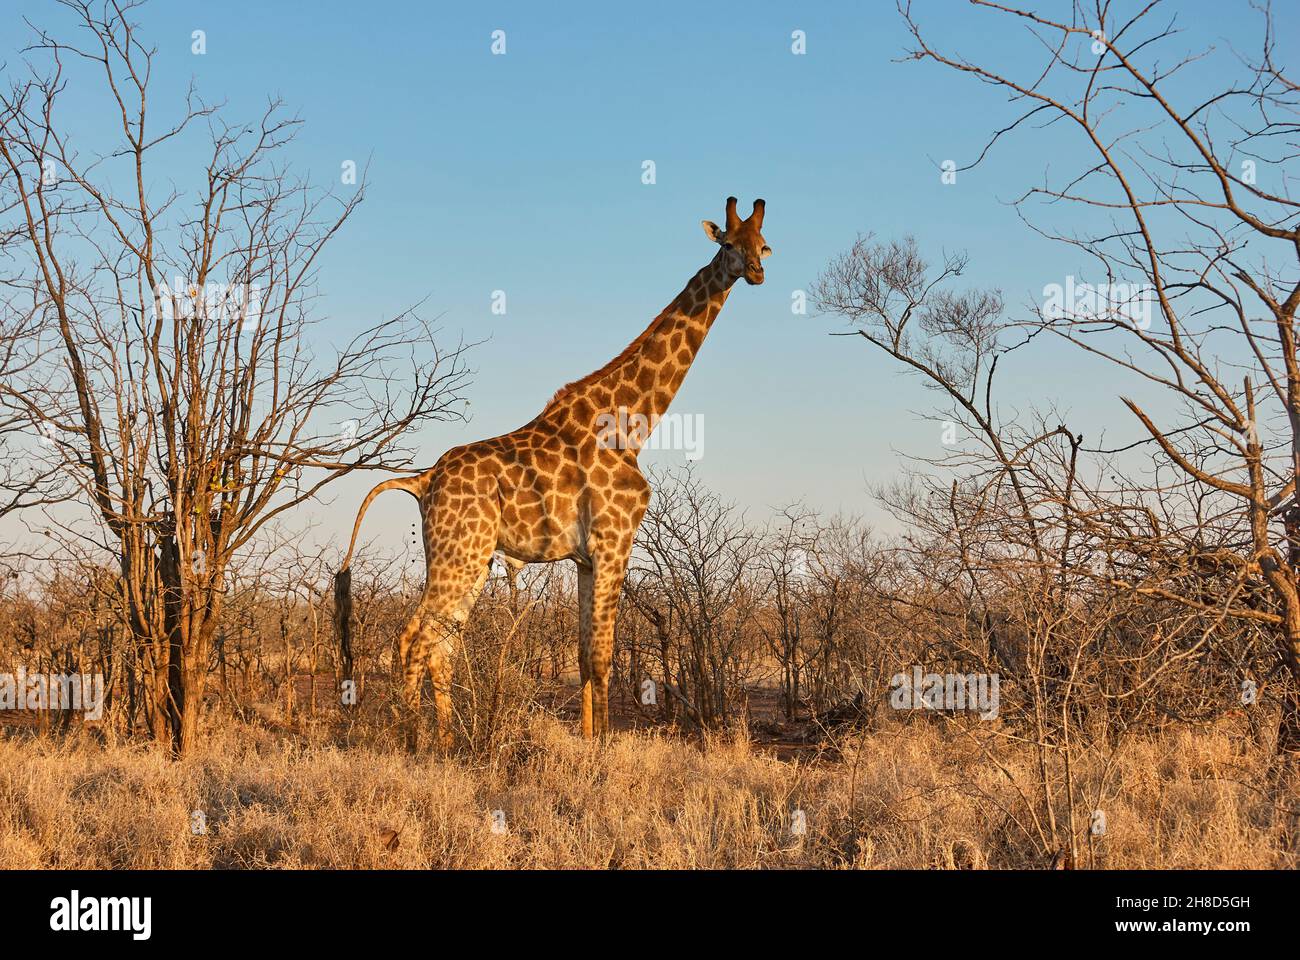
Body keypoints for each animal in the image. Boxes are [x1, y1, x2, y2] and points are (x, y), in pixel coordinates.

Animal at [335, 196, 769, 749]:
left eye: (764, 244)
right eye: (728, 243)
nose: (756, 272)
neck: (631, 425)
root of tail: (422, 480)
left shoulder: (584, 558)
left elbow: (584, 657)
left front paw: (587, 740)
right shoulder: (613, 542)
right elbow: (603, 658)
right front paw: (603, 747)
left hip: (464, 558)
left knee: (439, 646)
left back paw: (448, 743)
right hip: (463, 555)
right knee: (415, 637)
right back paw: (415, 743)